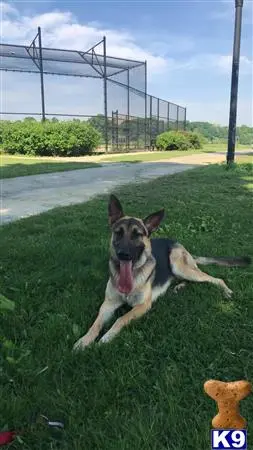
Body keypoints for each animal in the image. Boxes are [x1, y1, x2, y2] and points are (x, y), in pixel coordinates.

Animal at [72, 194, 249, 352]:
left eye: (137, 235)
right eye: (118, 232)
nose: (123, 254)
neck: (132, 276)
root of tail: (178, 243)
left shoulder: (143, 306)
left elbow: (121, 319)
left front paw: (106, 337)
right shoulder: (108, 304)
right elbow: (96, 324)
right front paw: (84, 341)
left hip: (179, 265)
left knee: (216, 279)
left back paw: (226, 291)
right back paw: (179, 287)